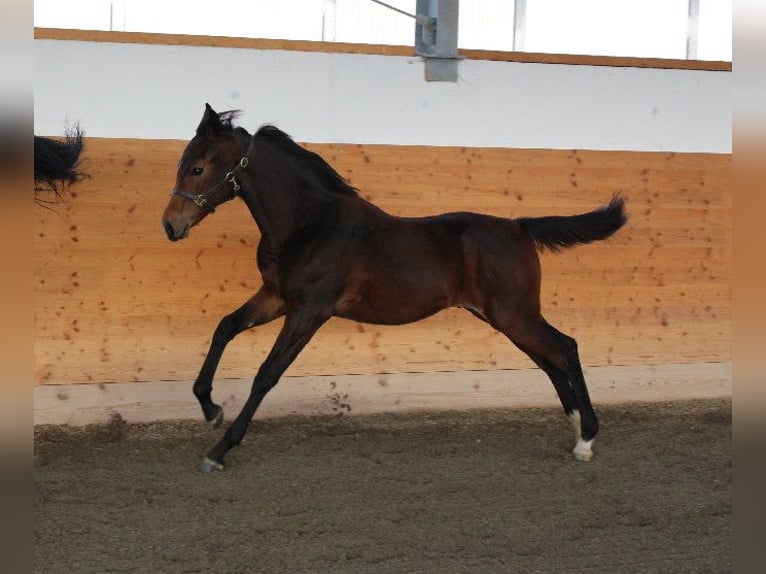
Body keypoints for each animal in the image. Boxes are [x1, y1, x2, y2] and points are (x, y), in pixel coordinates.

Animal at [162, 104, 627, 472]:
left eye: (198, 168)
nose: (170, 225)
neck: (310, 225)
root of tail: (519, 227)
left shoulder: (309, 310)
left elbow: (267, 373)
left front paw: (219, 449)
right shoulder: (276, 298)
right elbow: (224, 328)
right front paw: (211, 410)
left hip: (515, 314)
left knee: (565, 348)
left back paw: (586, 439)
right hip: (504, 317)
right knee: (549, 359)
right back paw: (574, 426)